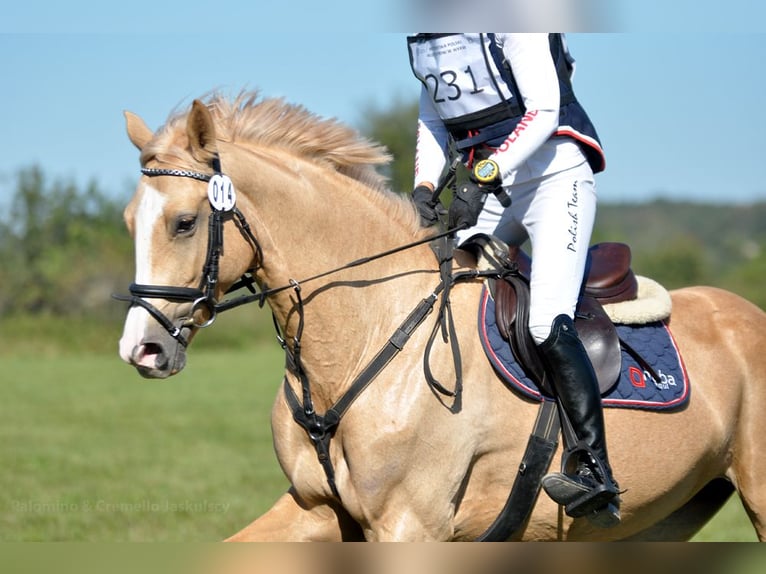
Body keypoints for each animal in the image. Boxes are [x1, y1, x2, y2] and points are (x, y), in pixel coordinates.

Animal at [117, 92, 766, 544]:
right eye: (128, 221)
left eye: (184, 222)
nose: (141, 350)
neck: (364, 334)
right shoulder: (314, 508)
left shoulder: (410, 524)